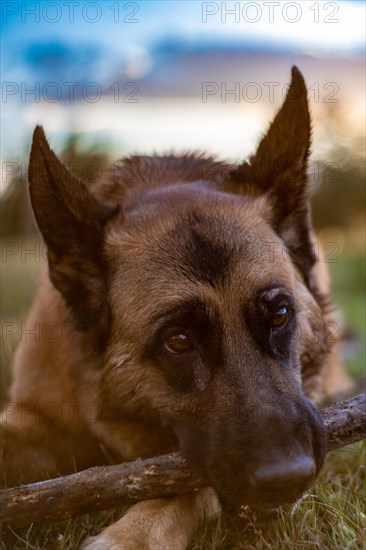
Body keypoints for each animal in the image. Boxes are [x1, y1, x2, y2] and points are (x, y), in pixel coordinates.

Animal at [0, 67, 348, 548]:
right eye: (178, 341)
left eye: (279, 315)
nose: (288, 478)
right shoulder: (34, 415)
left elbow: (185, 487)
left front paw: (132, 535)